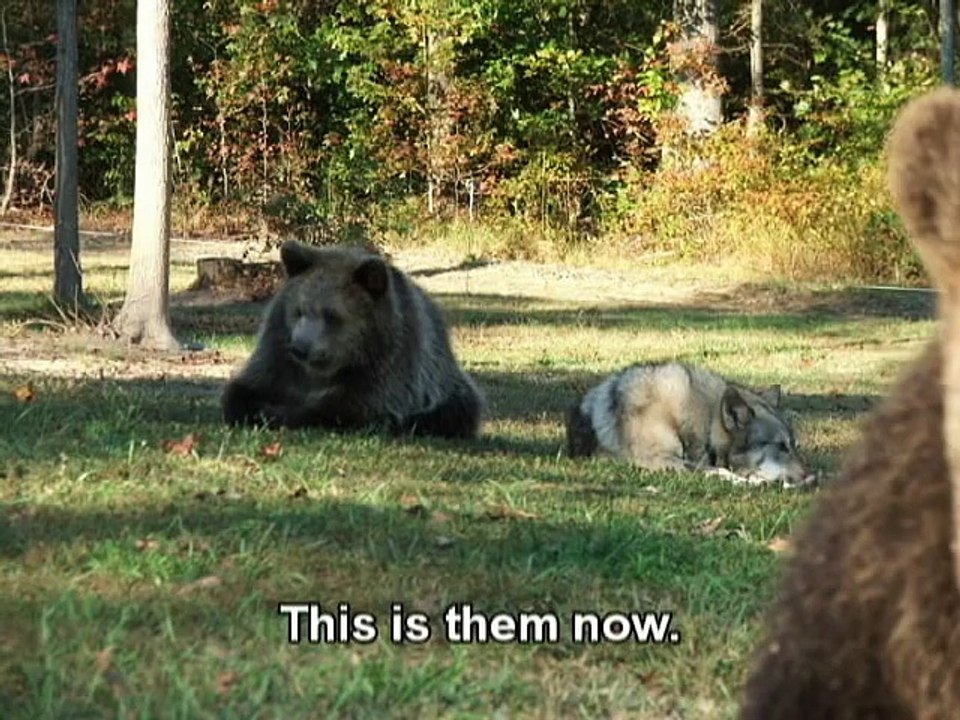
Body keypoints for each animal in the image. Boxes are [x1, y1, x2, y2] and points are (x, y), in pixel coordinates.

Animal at [221, 240, 485, 440]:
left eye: (332, 315)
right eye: (299, 310)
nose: (300, 348)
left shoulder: (386, 367)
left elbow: (346, 408)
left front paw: (280, 413)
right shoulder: (277, 356)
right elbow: (243, 391)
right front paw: (256, 408)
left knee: (454, 411)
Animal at [566, 361, 808, 486]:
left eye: (794, 446)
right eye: (781, 446)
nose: (811, 479)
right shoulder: (655, 459)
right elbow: (717, 470)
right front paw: (750, 481)